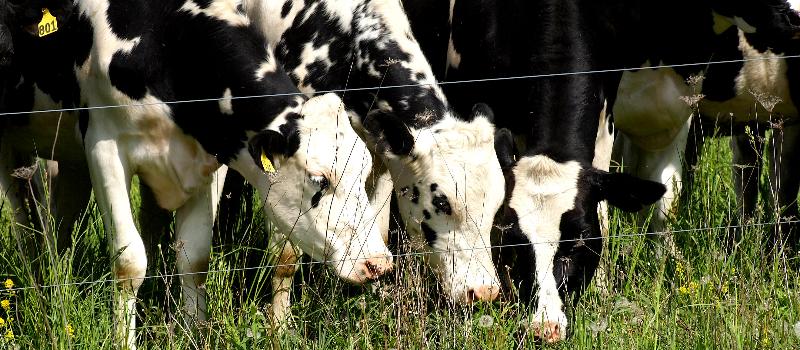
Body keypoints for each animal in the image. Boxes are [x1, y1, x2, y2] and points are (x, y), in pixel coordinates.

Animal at [5, 1, 394, 348]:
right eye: (320, 179)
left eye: (364, 172)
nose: (378, 263)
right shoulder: (104, 146)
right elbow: (129, 263)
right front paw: (123, 341)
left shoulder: (208, 160)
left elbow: (194, 260)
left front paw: (194, 333)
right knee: (24, 226)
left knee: (57, 228)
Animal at [241, 0, 506, 308]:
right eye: (442, 203)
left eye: (497, 205)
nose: (484, 291)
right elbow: (285, 257)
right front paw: (280, 321)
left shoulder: (380, 159)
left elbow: (377, 231)